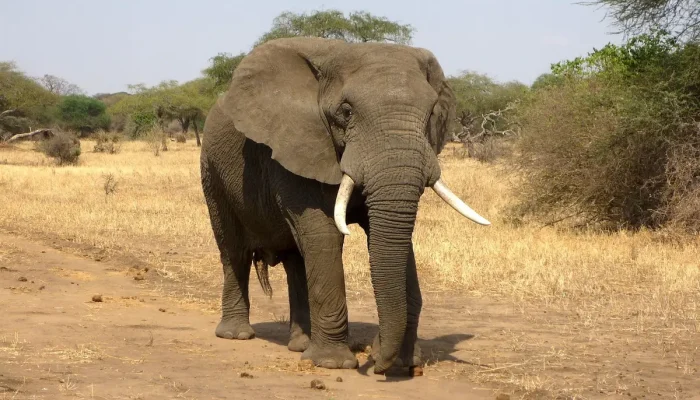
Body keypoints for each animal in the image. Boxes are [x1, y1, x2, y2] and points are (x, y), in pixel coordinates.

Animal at [199, 36, 490, 374]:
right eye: (347, 111)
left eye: (431, 113)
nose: (376, 363)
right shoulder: (298, 145)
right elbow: (324, 233)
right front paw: (332, 364)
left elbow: (390, 237)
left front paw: (404, 362)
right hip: (212, 170)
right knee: (233, 250)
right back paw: (236, 335)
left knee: (296, 259)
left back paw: (300, 344)